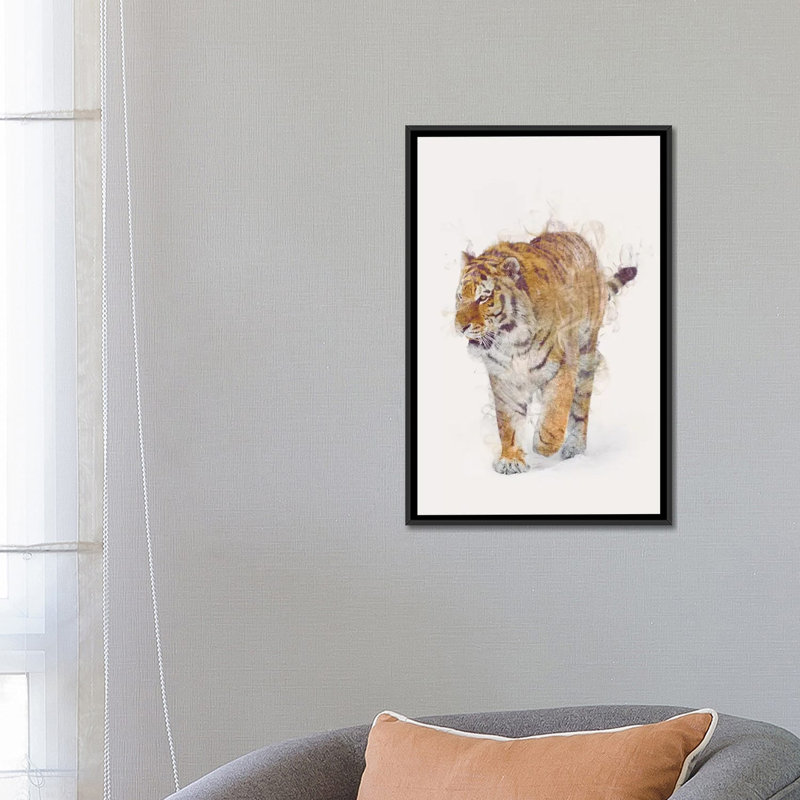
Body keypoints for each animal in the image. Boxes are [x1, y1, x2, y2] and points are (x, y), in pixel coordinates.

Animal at [454, 231, 637, 474]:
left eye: (483, 298)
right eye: (459, 297)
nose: (460, 327)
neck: (511, 344)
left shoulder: (564, 366)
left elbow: (556, 412)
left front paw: (543, 445)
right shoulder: (504, 380)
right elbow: (508, 423)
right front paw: (511, 460)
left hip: (586, 356)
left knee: (580, 408)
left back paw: (574, 447)